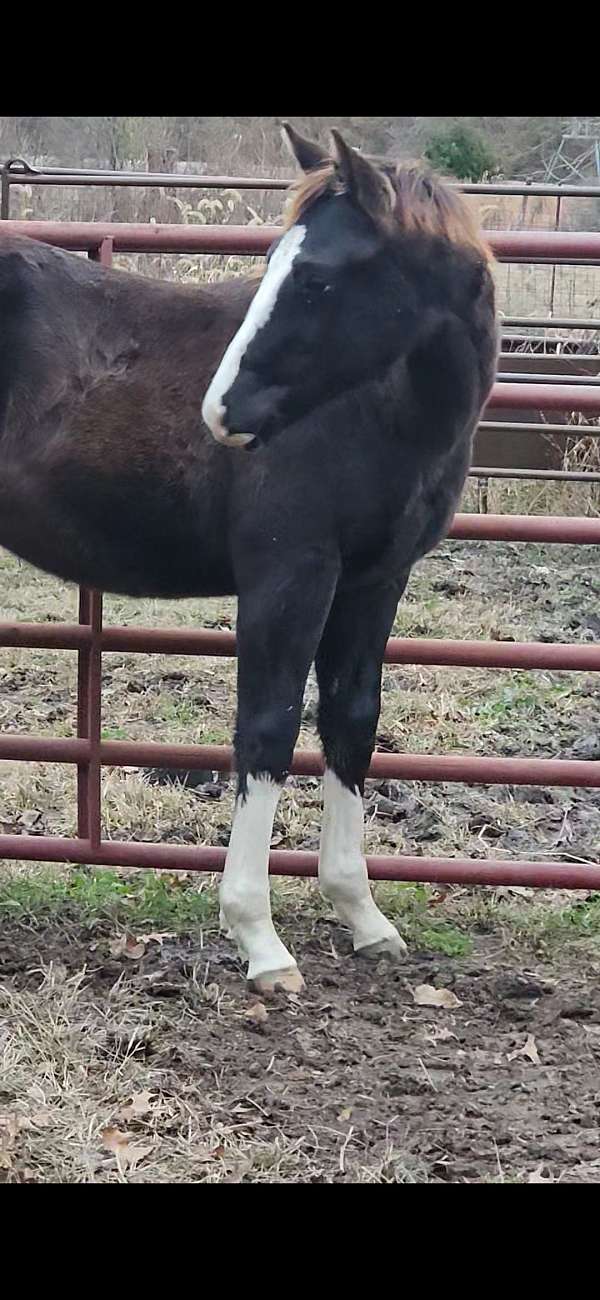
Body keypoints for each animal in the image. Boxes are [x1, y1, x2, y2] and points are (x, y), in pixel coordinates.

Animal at [0, 126, 496, 987]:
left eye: (318, 279)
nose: (222, 412)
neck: (384, 411)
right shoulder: (289, 574)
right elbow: (266, 728)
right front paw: (259, 938)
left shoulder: (375, 580)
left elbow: (351, 721)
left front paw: (362, 914)